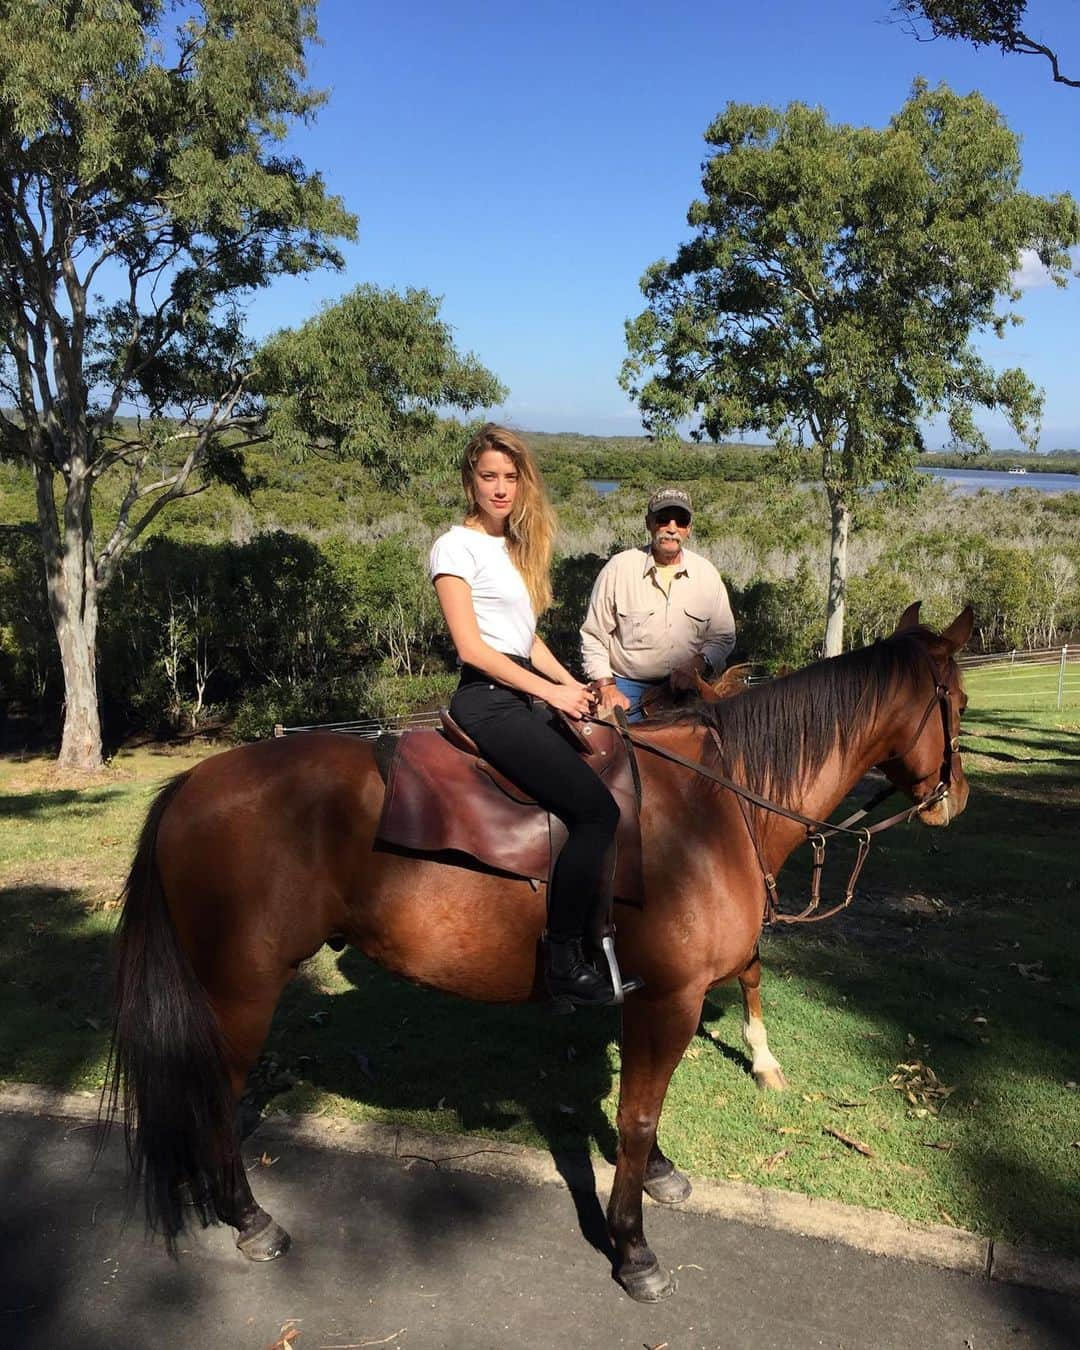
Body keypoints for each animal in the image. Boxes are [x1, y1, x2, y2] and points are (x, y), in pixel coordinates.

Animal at [105, 602, 972, 1296]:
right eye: (958, 702)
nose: (954, 798)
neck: (716, 803)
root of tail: (188, 788)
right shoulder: (671, 998)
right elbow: (638, 1117)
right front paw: (632, 1248)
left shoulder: (652, 995)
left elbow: (640, 1106)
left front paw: (659, 1178)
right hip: (241, 989)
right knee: (212, 1094)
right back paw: (250, 1219)